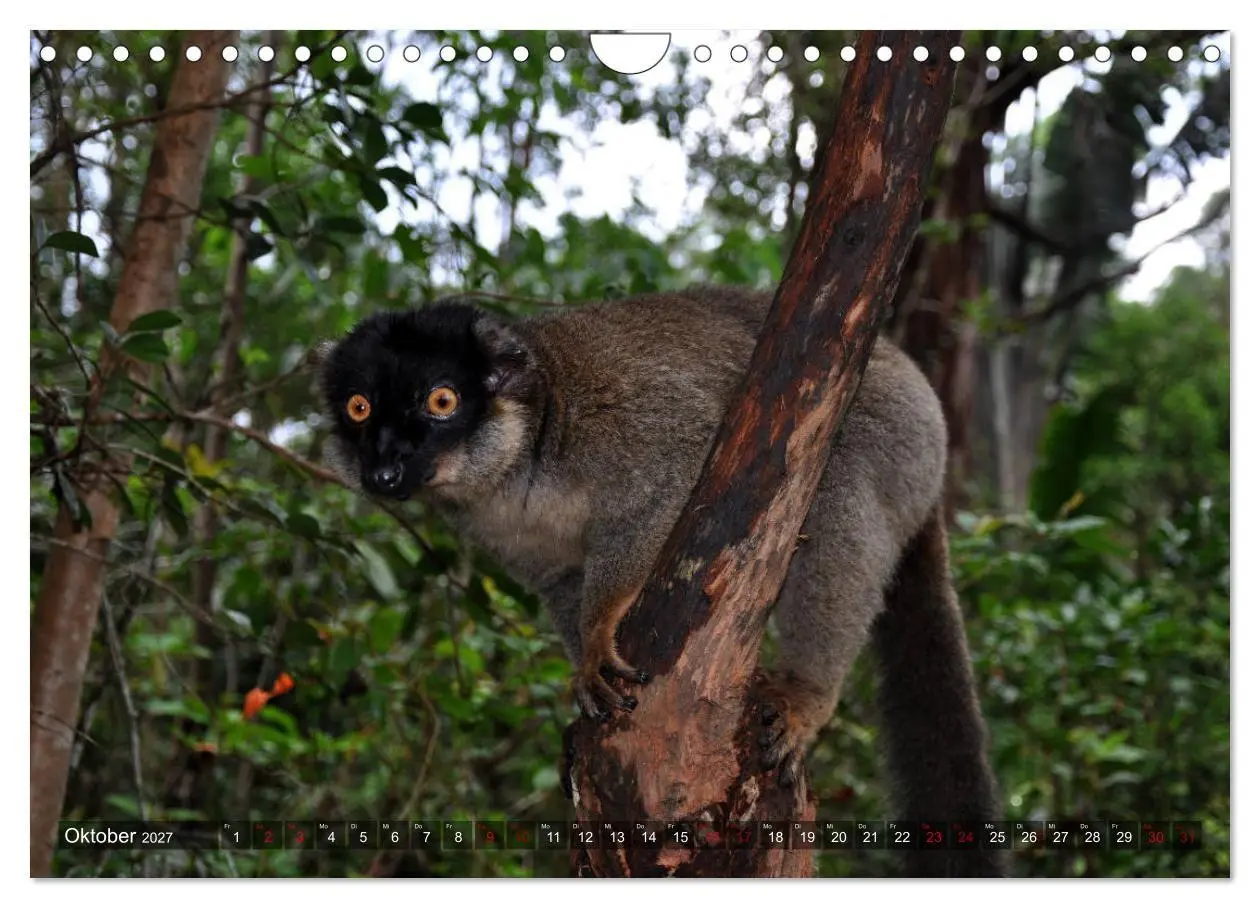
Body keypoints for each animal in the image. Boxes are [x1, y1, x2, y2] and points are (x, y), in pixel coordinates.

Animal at [315, 285, 1006, 876]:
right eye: (359, 409)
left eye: (441, 401)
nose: (382, 469)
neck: (520, 466)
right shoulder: (501, 531)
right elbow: (563, 581)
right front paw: (582, 704)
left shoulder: (618, 414)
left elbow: (683, 464)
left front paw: (601, 634)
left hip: (898, 431)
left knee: (835, 492)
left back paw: (807, 693)